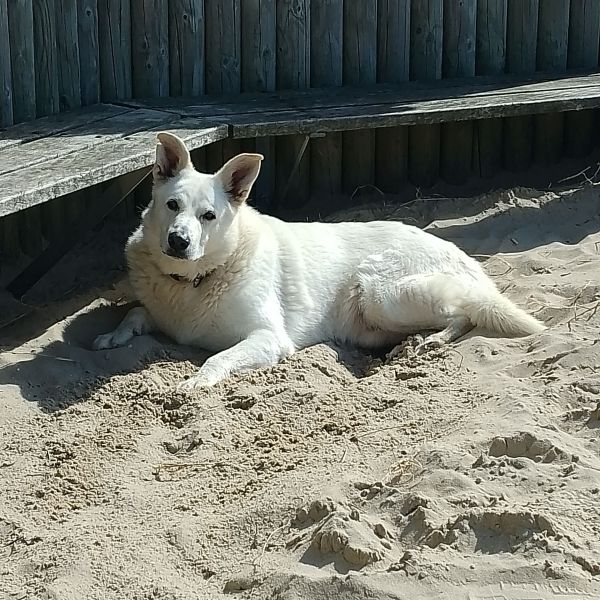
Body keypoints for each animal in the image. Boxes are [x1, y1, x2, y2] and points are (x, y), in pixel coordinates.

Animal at [92, 132, 544, 390]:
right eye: (172, 205)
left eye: (209, 216)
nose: (179, 241)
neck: (193, 280)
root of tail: (468, 261)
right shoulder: (164, 315)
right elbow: (135, 313)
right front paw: (111, 336)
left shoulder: (269, 338)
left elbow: (217, 358)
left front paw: (195, 383)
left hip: (379, 292)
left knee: (462, 313)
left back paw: (431, 340)